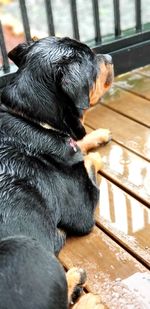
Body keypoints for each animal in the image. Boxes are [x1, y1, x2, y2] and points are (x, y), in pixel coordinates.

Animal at [0, 36, 112, 308]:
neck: (31, 119)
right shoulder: (82, 212)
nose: (110, 57)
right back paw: (82, 289)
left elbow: (78, 142)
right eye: (92, 61)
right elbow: (87, 162)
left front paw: (97, 135)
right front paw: (92, 155)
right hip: (21, 246)